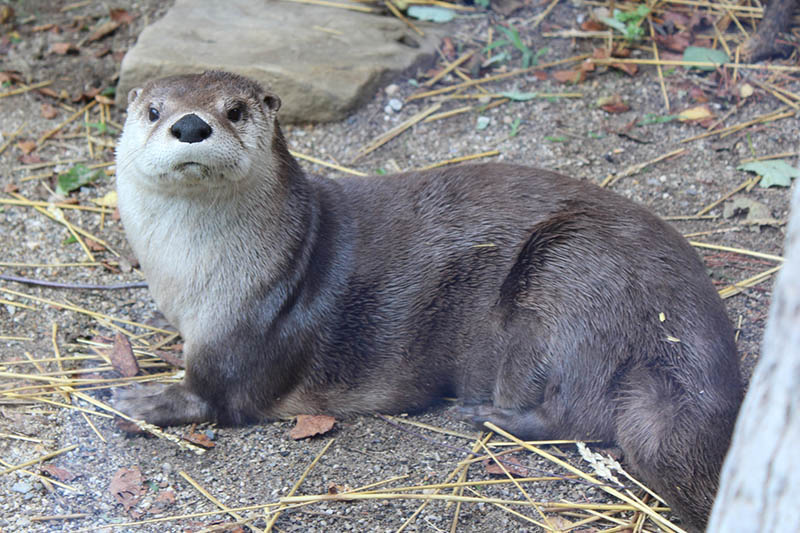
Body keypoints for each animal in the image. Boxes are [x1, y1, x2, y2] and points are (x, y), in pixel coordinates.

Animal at [114, 70, 742, 532]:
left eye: (235, 110)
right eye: (154, 110)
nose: (190, 124)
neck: (196, 281)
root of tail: (690, 332)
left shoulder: (246, 333)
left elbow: (216, 395)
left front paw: (142, 401)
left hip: (570, 271)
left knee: (575, 412)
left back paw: (487, 415)